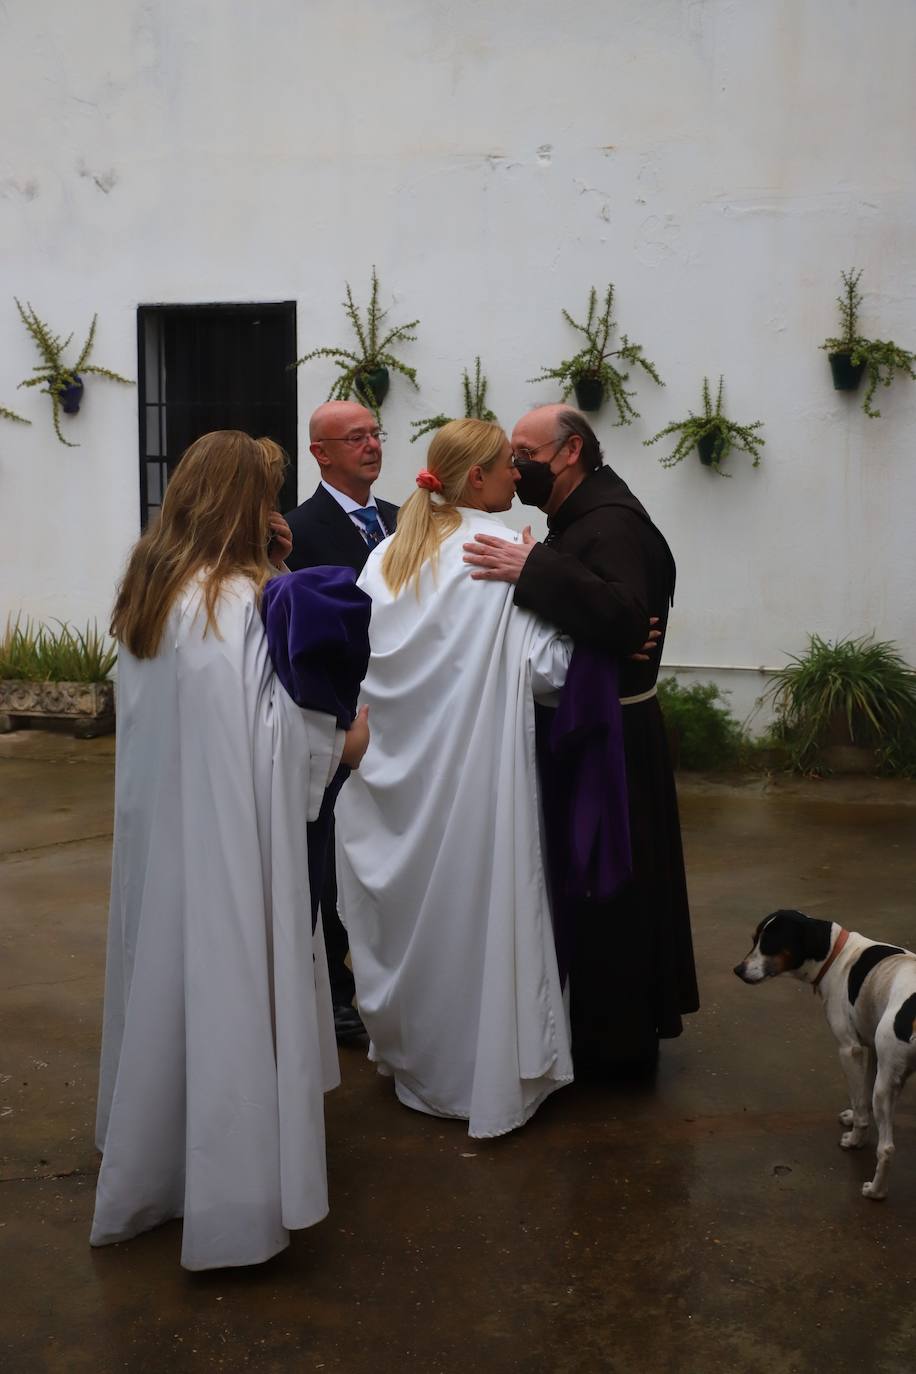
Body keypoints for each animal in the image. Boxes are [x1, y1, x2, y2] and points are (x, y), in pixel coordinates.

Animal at [736, 912, 916, 1203]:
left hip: (886, 1087)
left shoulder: (849, 1049)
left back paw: (876, 1191)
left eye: (770, 944)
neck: (837, 956)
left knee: (887, 1148)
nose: (738, 970)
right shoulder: (871, 1051)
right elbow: (862, 1095)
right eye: (754, 940)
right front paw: (854, 1119)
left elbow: (860, 1101)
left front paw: (855, 1139)